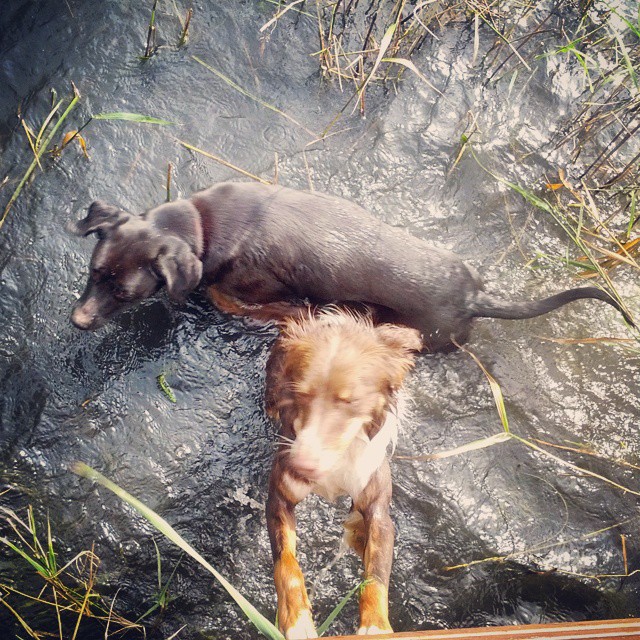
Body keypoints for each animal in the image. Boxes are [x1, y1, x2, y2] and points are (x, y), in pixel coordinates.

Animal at [71, 181, 636, 350]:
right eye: (93, 272)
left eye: (123, 292)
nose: (76, 322)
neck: (202, 227)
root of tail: (476, 298)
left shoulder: (250, 292)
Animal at [262, 308, 422, 636]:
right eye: (301, 395)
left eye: (350, 401)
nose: (303, 464)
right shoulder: (278, 499)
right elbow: (286, 562)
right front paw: (296, 618)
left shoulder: (378, 511)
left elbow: (376, 574)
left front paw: (375, 625)